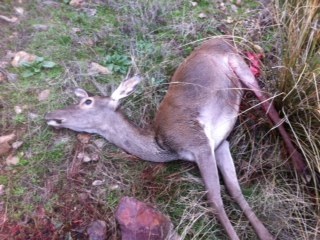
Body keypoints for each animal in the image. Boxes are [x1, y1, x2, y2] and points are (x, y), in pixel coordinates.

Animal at [44, 37, 300, 240]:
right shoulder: (219, 144)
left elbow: (215, 200)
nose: (51, 115)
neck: (163, 147)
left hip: (240, 65)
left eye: (87, 102)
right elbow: (235, 190)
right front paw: (267, 235)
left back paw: (301, 167)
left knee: (270, 105)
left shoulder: (199, 144)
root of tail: (221, 39)